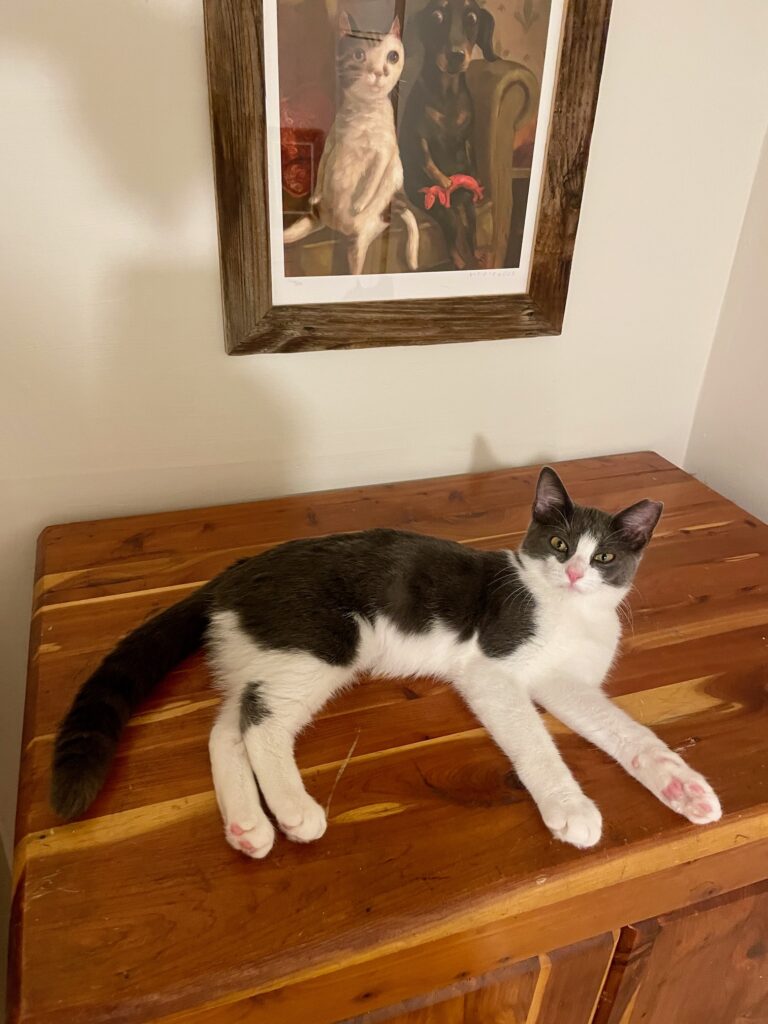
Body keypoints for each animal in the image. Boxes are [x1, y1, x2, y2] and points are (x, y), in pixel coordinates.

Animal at [51, 468, 722, 858]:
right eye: (558, 544)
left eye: (605, 556)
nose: (577, 572)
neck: (566, 612)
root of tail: (236, 572)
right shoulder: (492, 668)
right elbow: (534, 742)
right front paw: (571, 808)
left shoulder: (568, 683)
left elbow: (625, 730)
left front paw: (682, 786)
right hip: (323, 643)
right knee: (261, 725)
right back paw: (294, 812)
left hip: (265, 652)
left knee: (228, 727)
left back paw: (249, 828)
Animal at [283, 12, 419, 275]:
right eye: (359, 55)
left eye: (393, 56)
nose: (379, 71)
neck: (363, 112)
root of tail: (333, 226)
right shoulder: (331, 142)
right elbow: (322, 166)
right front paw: (316, 193)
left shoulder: (385, 152)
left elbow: (374, 177)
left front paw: (359, 203)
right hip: (313, 219)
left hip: (360, 241)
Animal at [399, 0, 497, 269]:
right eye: (436, 16)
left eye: (472, 18)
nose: (456, 56)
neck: (447, 94)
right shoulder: (418, 135)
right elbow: (426, 158)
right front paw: (444, 181)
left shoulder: (467, 138)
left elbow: (470, 153)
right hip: (440, 209)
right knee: (453, 235)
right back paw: (461, 261)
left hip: (469, 209)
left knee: (470, 227)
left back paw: (475, 254)